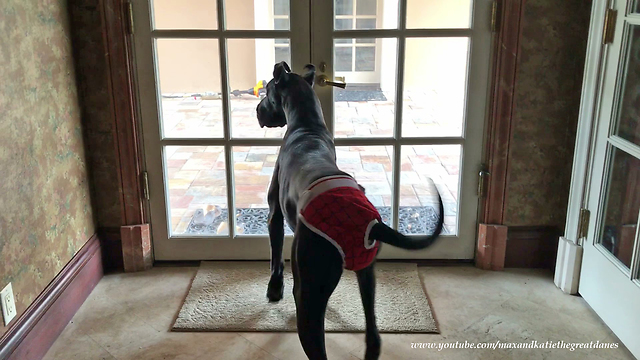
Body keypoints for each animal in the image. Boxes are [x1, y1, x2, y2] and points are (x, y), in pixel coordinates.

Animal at [255, 60, 444, 358]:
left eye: (267, 92)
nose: (257, 110)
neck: (307, 125)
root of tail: (367, 223)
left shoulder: (274, 211)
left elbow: (275, 256)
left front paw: (274, 289)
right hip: (367, 272)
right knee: (374, 337)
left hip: (309, 293)